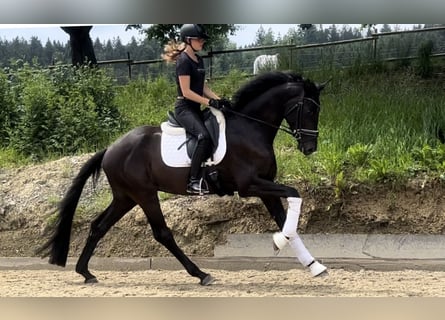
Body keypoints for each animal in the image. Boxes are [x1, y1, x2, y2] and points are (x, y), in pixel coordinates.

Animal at [38, 72, 328, 284]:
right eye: (309, 110)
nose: (310, 148)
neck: (250, 128)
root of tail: (110, 148)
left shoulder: (266, 187)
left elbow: (286, 220)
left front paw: (315, 266)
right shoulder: (250, 186)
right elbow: (295, 195)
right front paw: (280, 243)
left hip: (125, 197)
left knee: (99, 226)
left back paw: (85, 273)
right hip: (144, 194)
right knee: (162, 233)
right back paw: (201, 274)